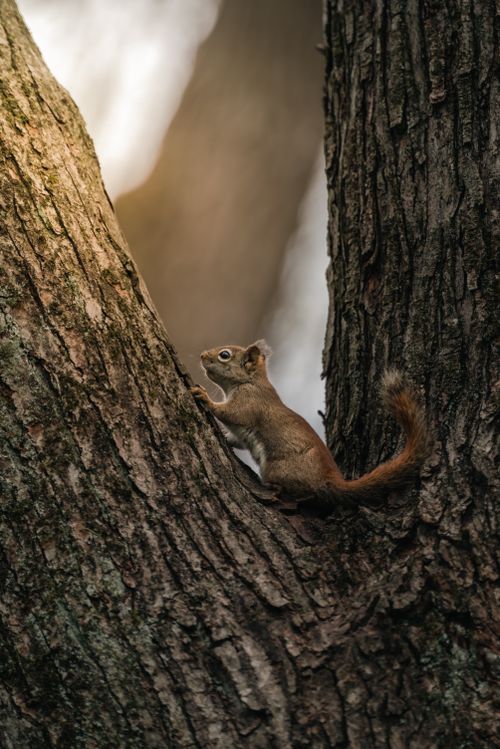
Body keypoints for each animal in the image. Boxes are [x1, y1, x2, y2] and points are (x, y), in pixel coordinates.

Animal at [190, 340, 428, 508]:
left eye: (224, 355)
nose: (201, 355)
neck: (248, 382)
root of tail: (331, 480)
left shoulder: (249, 403)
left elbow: (230, 414)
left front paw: (205, 398)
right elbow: (237, 439)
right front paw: (226, 438)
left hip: (278, 468)